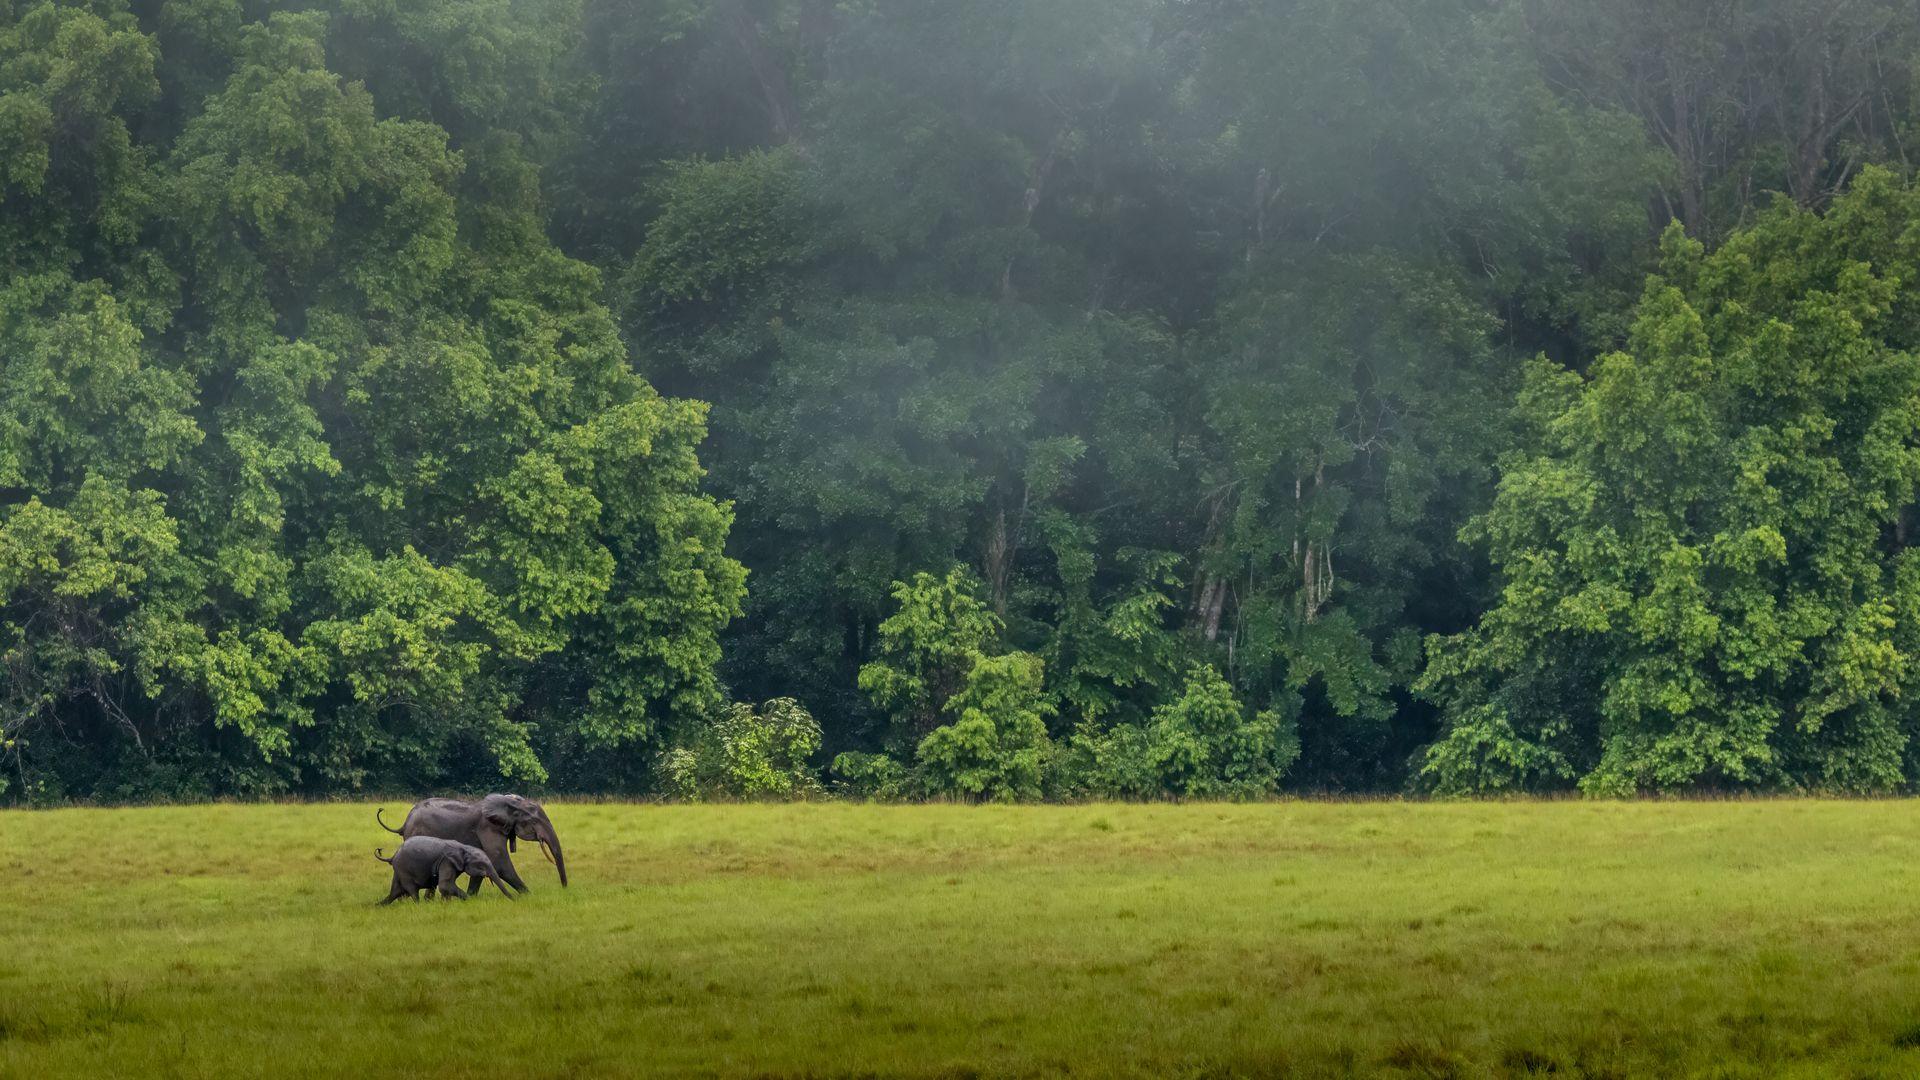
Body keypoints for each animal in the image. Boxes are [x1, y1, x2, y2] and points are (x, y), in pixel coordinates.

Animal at [370, 834, 510, 899]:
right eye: (481, 864)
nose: (513, 900)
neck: (463, 848)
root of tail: (393, 856)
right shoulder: (447, 862)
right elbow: (445, 885)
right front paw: (471, 900)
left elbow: (446, 887)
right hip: (404, 870)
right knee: (411, 890)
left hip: (399, 870)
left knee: (396, 891)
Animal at [378, 791, 564, 891]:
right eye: (534, 821)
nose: (564, 888)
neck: (507, 802)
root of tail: (405, 823)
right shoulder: (487, 828)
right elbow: (499, 864)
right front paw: (527, 896)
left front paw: (471, 897)